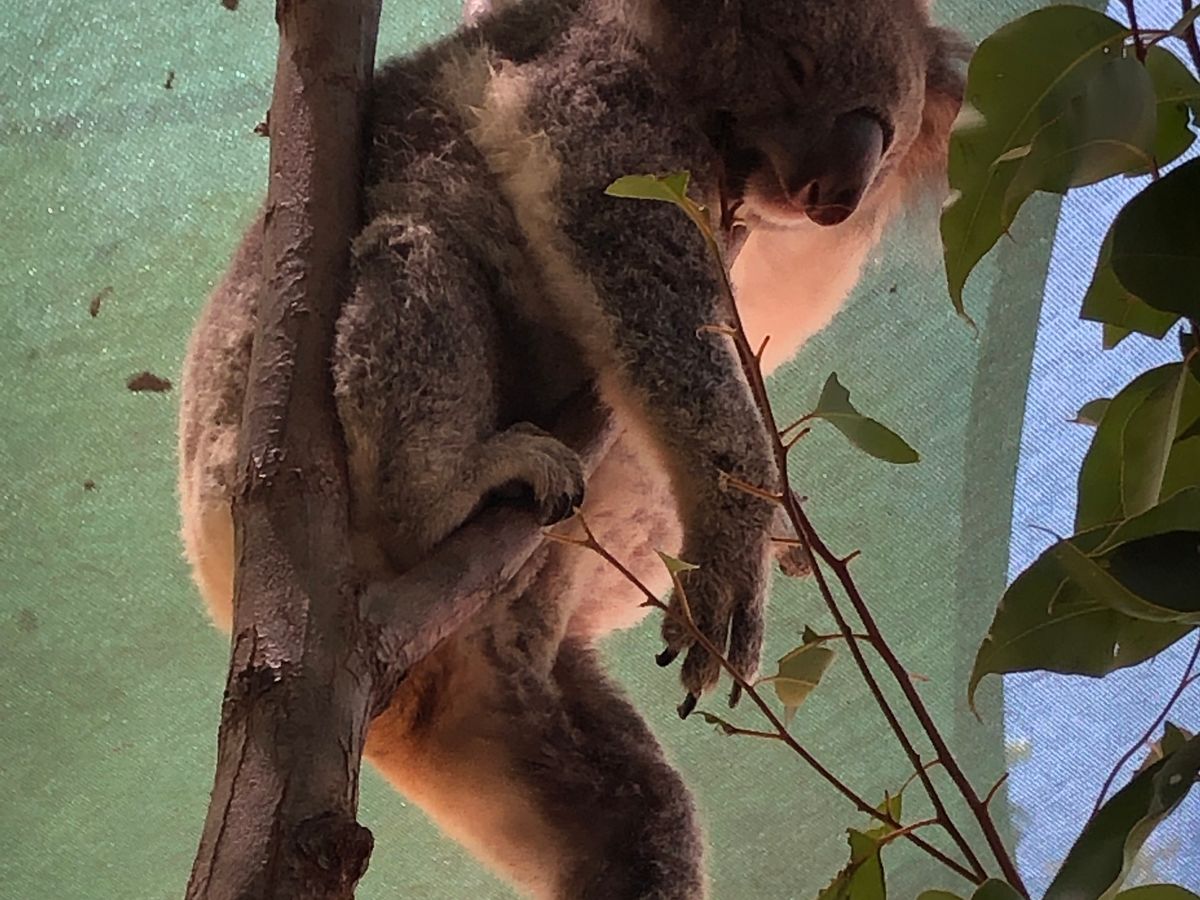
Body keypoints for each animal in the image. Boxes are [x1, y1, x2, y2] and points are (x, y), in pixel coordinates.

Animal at [177, 1, 965, 896]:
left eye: (892, 135)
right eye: (798, 64)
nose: (837, 191)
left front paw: (785, 535)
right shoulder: (602, 98)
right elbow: (642, 281)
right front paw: (733, 560)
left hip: (522, 698)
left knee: (645, 819)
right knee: (414, 255)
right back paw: (469, 482)